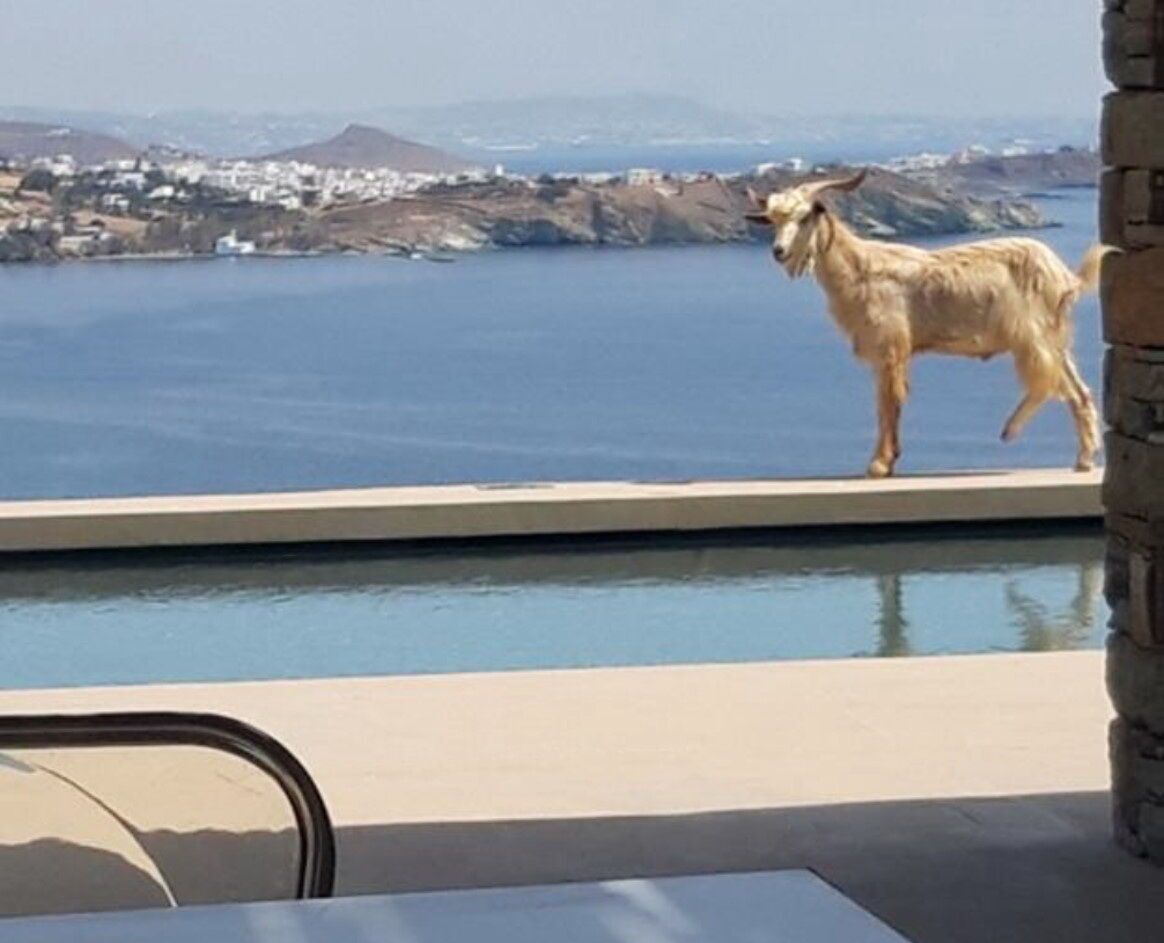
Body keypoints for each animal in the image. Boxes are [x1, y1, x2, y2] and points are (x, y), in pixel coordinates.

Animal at [745, 170, 1107, 478]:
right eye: (773, 220)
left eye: (805, 217)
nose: (778, 251)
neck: (860, 270)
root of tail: (1066, 276)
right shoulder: (889, 354)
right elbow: (889, 403)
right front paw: (889, 461)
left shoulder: (891, 348)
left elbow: (888, 403)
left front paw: (879, 464)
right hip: (1056, 339)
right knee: (1079, 392)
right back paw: (1084, 459)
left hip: (1034, 335)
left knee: (1048, 382)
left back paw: (1011, 430)